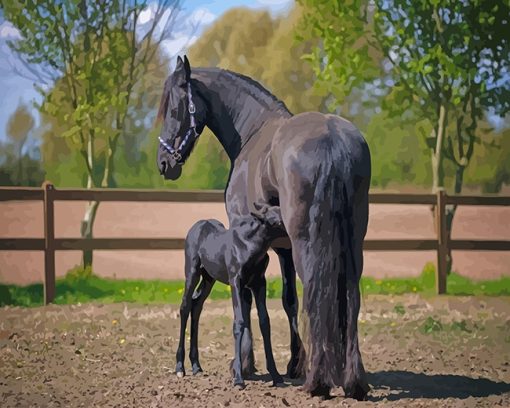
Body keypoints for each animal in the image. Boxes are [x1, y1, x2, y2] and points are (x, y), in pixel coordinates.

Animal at [177, 206, 284, 388]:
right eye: (275, 221)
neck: (250, 247)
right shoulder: (236, 282)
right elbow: (239, 322)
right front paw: (239, 378)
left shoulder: (259, 283)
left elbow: (265, 322)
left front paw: (276, 375)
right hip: (192, 272)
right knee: (185, 306)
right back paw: (179, 367)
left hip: (209, 278)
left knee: (196, 305)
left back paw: (196, 365)